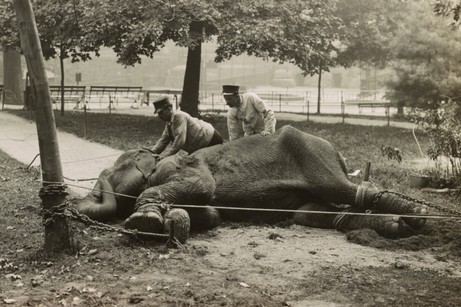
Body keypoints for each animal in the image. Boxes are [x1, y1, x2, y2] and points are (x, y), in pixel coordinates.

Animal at [73, 124, 428, 243]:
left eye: (110, 170)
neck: (159, 159)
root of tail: (339, 153)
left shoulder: (185, 166)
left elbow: (203, 187)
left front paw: (144, 221)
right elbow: (211, 214)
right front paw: (176, 219)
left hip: (313, 154)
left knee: (346, 189)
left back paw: (417, 215)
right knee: (317, 212)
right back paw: (394, 226)